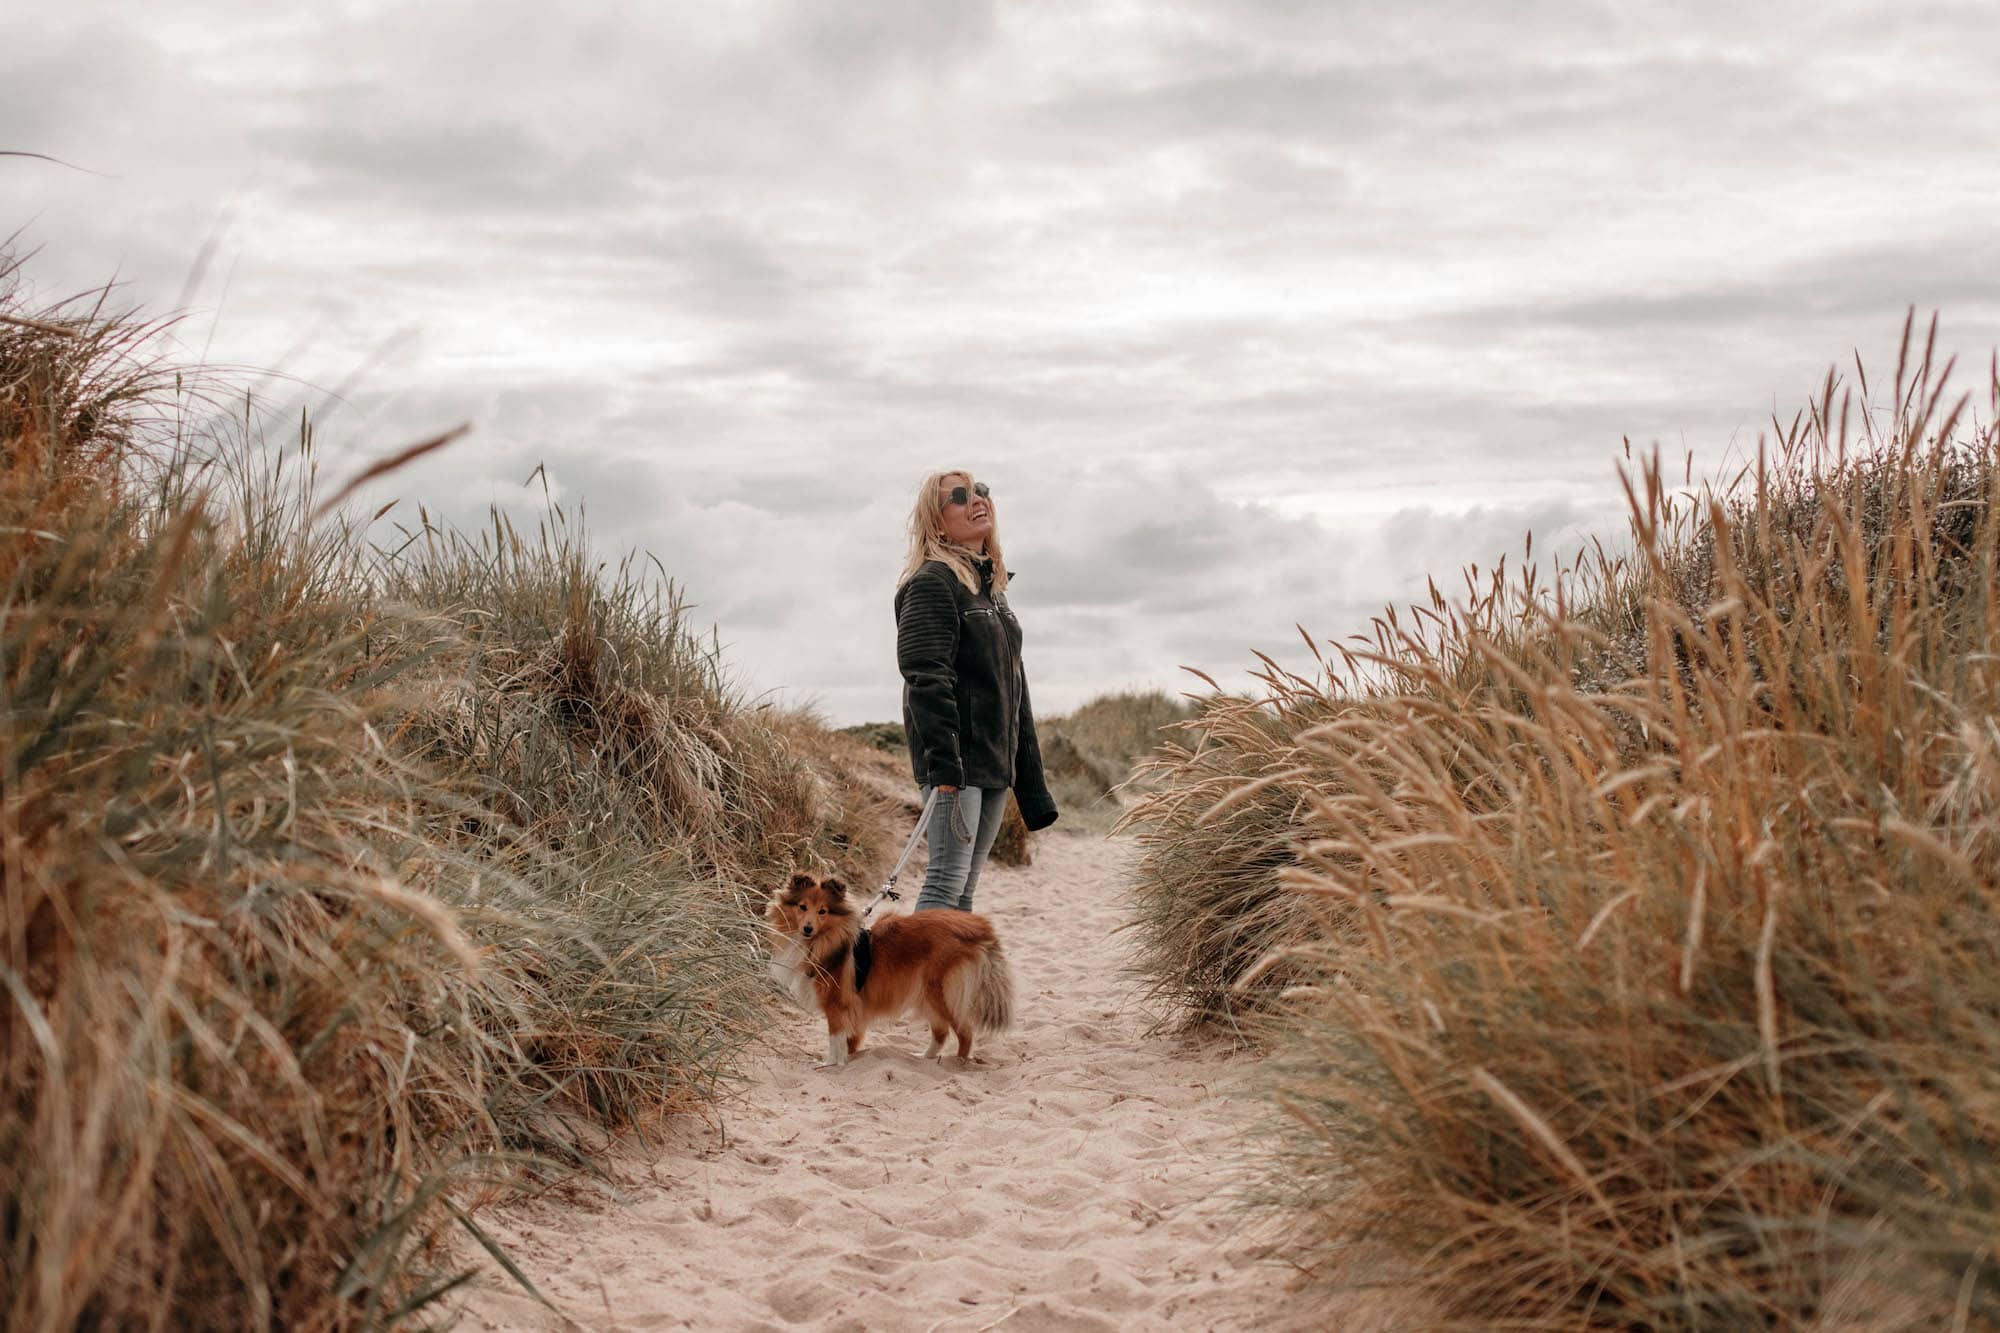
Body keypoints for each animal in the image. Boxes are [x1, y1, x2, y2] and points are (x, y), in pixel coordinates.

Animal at [764, 868, 1016, 1064]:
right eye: (802, 907)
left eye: (823, 911)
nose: (807, 929)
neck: (825, 941)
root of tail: (979, 928)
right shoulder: (856, 1006)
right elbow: (851, 1038)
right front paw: (851, 1056)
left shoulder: (837, 1004)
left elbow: (835, 1039)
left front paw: (830, 1064)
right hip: (928, 994)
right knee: (942, 1032)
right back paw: (924, 1057)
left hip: (942, 992)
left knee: (965, 1033)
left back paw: (958, 1063)